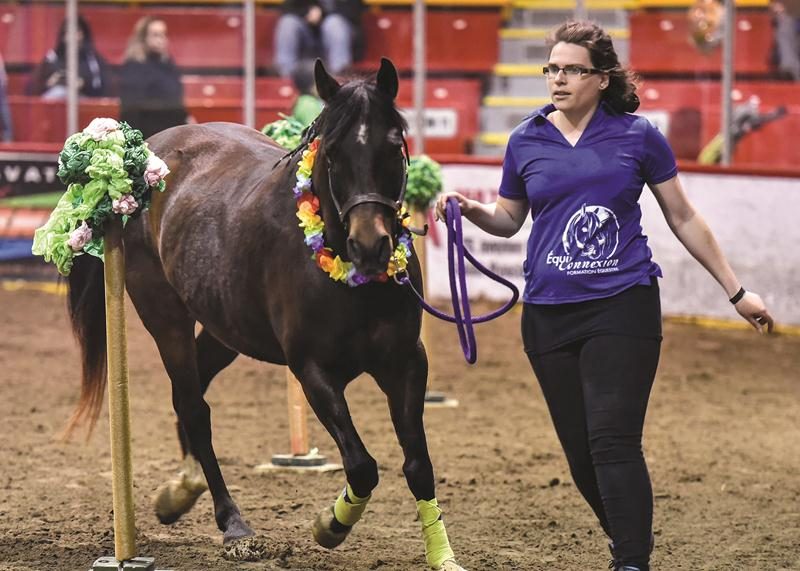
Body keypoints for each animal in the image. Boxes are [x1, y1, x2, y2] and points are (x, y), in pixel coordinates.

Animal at [66, 58, 466, 570]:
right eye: (331, 154)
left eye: (394, 145)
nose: (371, 246)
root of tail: (150, 154)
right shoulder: (312, 370)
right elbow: (361, 465)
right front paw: (329, 525)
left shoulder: (406, 362)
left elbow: (418, 464)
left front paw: (442, 555)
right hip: (165, 317)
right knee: (193, 405)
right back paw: (232, 523)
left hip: (225, 327)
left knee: (194, 391)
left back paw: (183, 487)